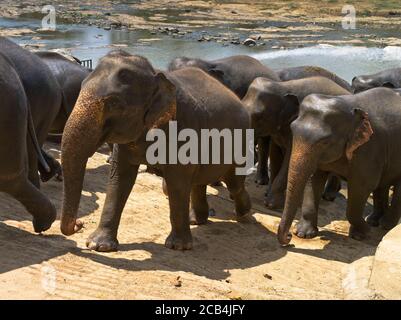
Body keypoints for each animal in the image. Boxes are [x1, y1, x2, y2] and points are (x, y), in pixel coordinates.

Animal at [59, 50, 252, 251]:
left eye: (114, 103)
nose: (79, 224)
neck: (155, 74)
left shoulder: (183, 126)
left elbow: (176, 181)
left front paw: (178, 247)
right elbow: (119, 177)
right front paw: (99, 245)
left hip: (241, 141)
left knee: (233, 182)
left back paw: (244, 213)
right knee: (200, 181)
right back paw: (197, 220)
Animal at [241, 76, 350, 209]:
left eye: (259, 116)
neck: (283, 86)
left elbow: (289, 160)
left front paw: (271, 204)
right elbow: (275, 155)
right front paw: (267, 194)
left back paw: (329, 196)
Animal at [276, 87, 400, 245]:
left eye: (324, 142)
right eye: (292, 130)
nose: (289, 237)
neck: (349, 106)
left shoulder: (369, 149)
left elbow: (361, 187)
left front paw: (362, 234)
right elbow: (313, 179)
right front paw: (304, 233)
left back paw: (385, 225)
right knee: (382, 184)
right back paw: (373, 221)